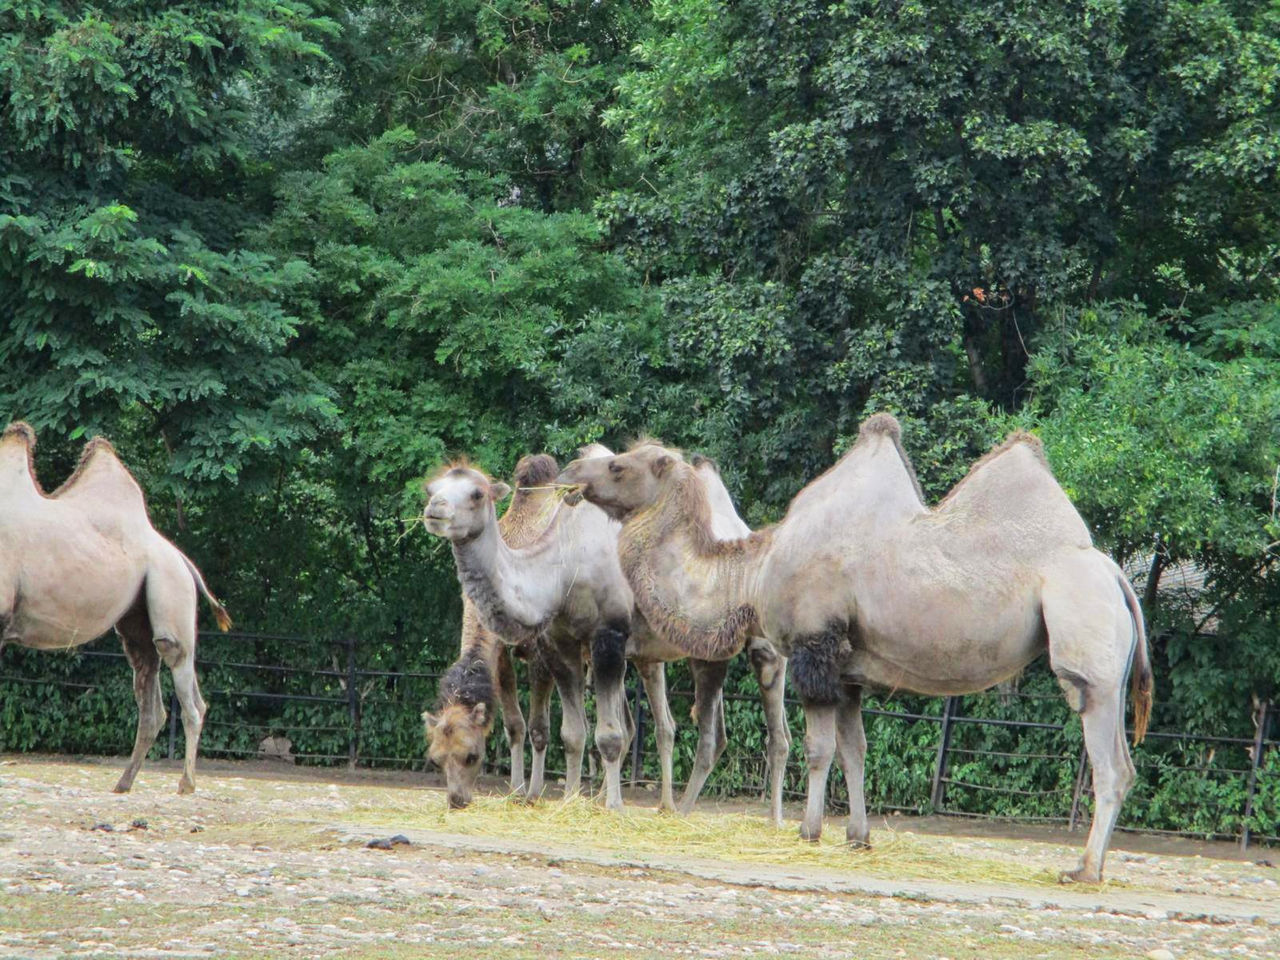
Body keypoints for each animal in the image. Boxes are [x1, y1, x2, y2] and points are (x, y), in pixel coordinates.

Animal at [1, 422, 230, 798]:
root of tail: (181, 557)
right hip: (137, 615)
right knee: (149, 688)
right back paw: (124, 782)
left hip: (170, 584)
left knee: (181, 673)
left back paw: (186, 783)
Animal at [424, 445, 788, 819]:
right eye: (431, 488)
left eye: (476, 493)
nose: (435, 509)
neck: (563, 562)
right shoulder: (561, 643)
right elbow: (572, 734)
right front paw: (570, 799)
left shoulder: (607, 637)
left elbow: (607, 735)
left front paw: (608, 805)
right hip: (696, 649)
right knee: (710, 732)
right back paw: (669, 807)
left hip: (759, 642)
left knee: (768, 731)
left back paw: (760, 818)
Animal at [555, 417, 1157, 885]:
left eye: (619, 466)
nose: (568, 474)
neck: (752, 571)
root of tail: (1116, 576)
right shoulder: (848, 669)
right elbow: (855, 751)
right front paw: (857, 836)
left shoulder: (814, 648)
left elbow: (818, 749)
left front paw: (808, 830)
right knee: (1124, 763)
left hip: (1087, 644)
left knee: (1108, 760)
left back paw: (1084, 869)